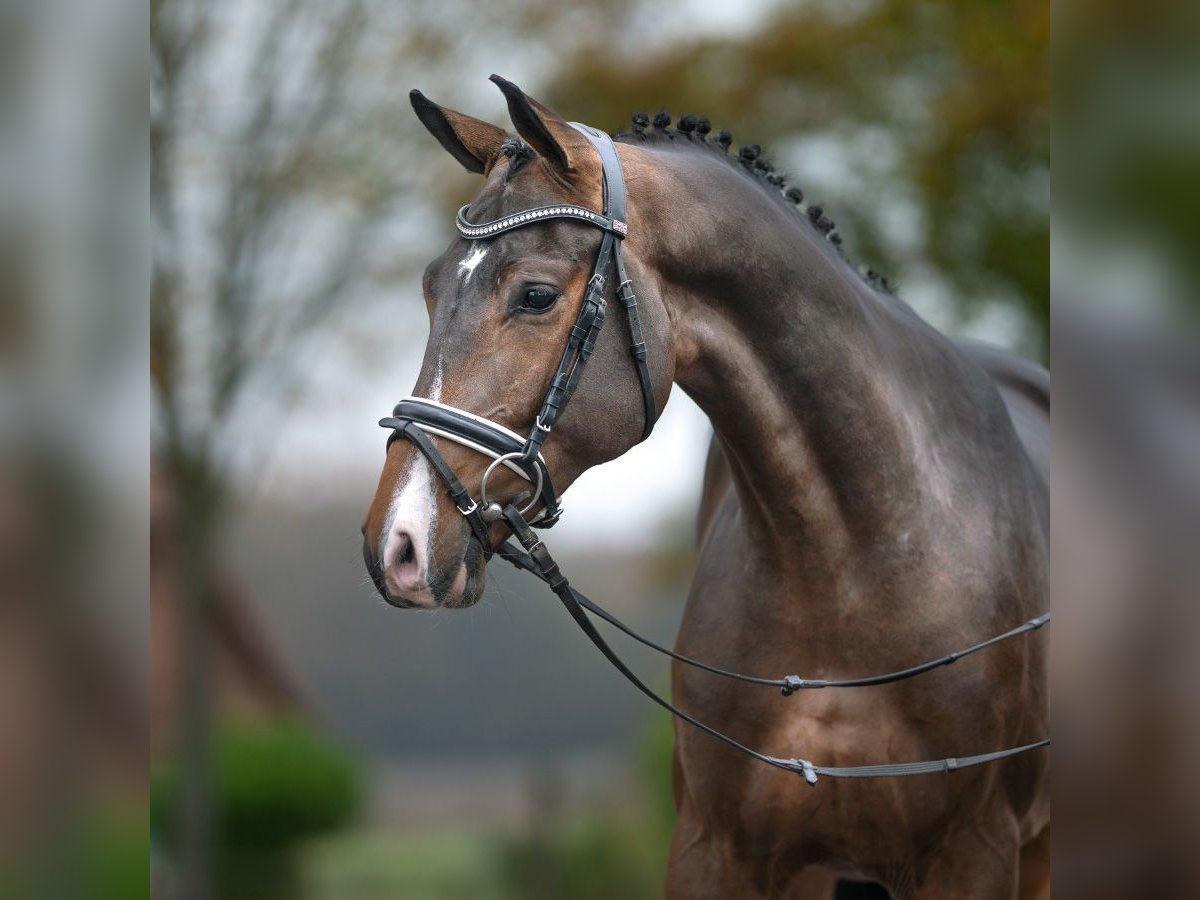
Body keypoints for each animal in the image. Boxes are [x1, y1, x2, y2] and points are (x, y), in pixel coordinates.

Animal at [360, 77, 1046, 900]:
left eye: (535, 295)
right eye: (431, 288)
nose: (397, 544)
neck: (850, 568)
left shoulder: (975, 854)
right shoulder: (713, 852)